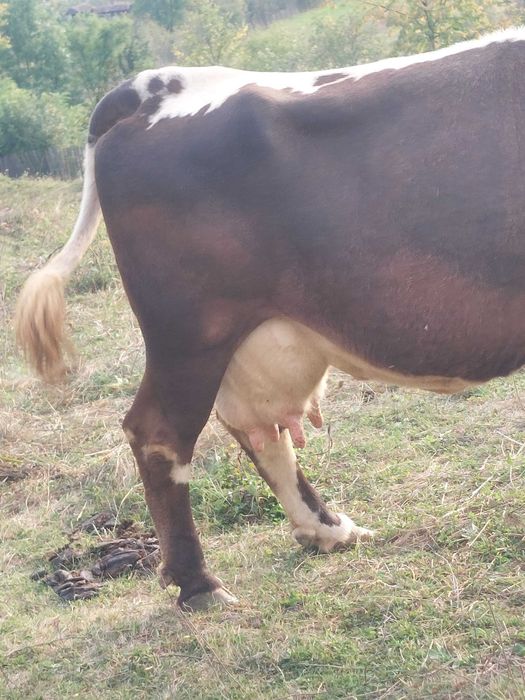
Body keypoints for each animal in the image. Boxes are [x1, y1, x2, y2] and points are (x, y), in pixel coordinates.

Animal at [14, 28, 525, 609]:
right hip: (188, 333)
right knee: (159, 432)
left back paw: (329, 530)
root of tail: (152, 87)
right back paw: (200, 584)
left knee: (256, 426)